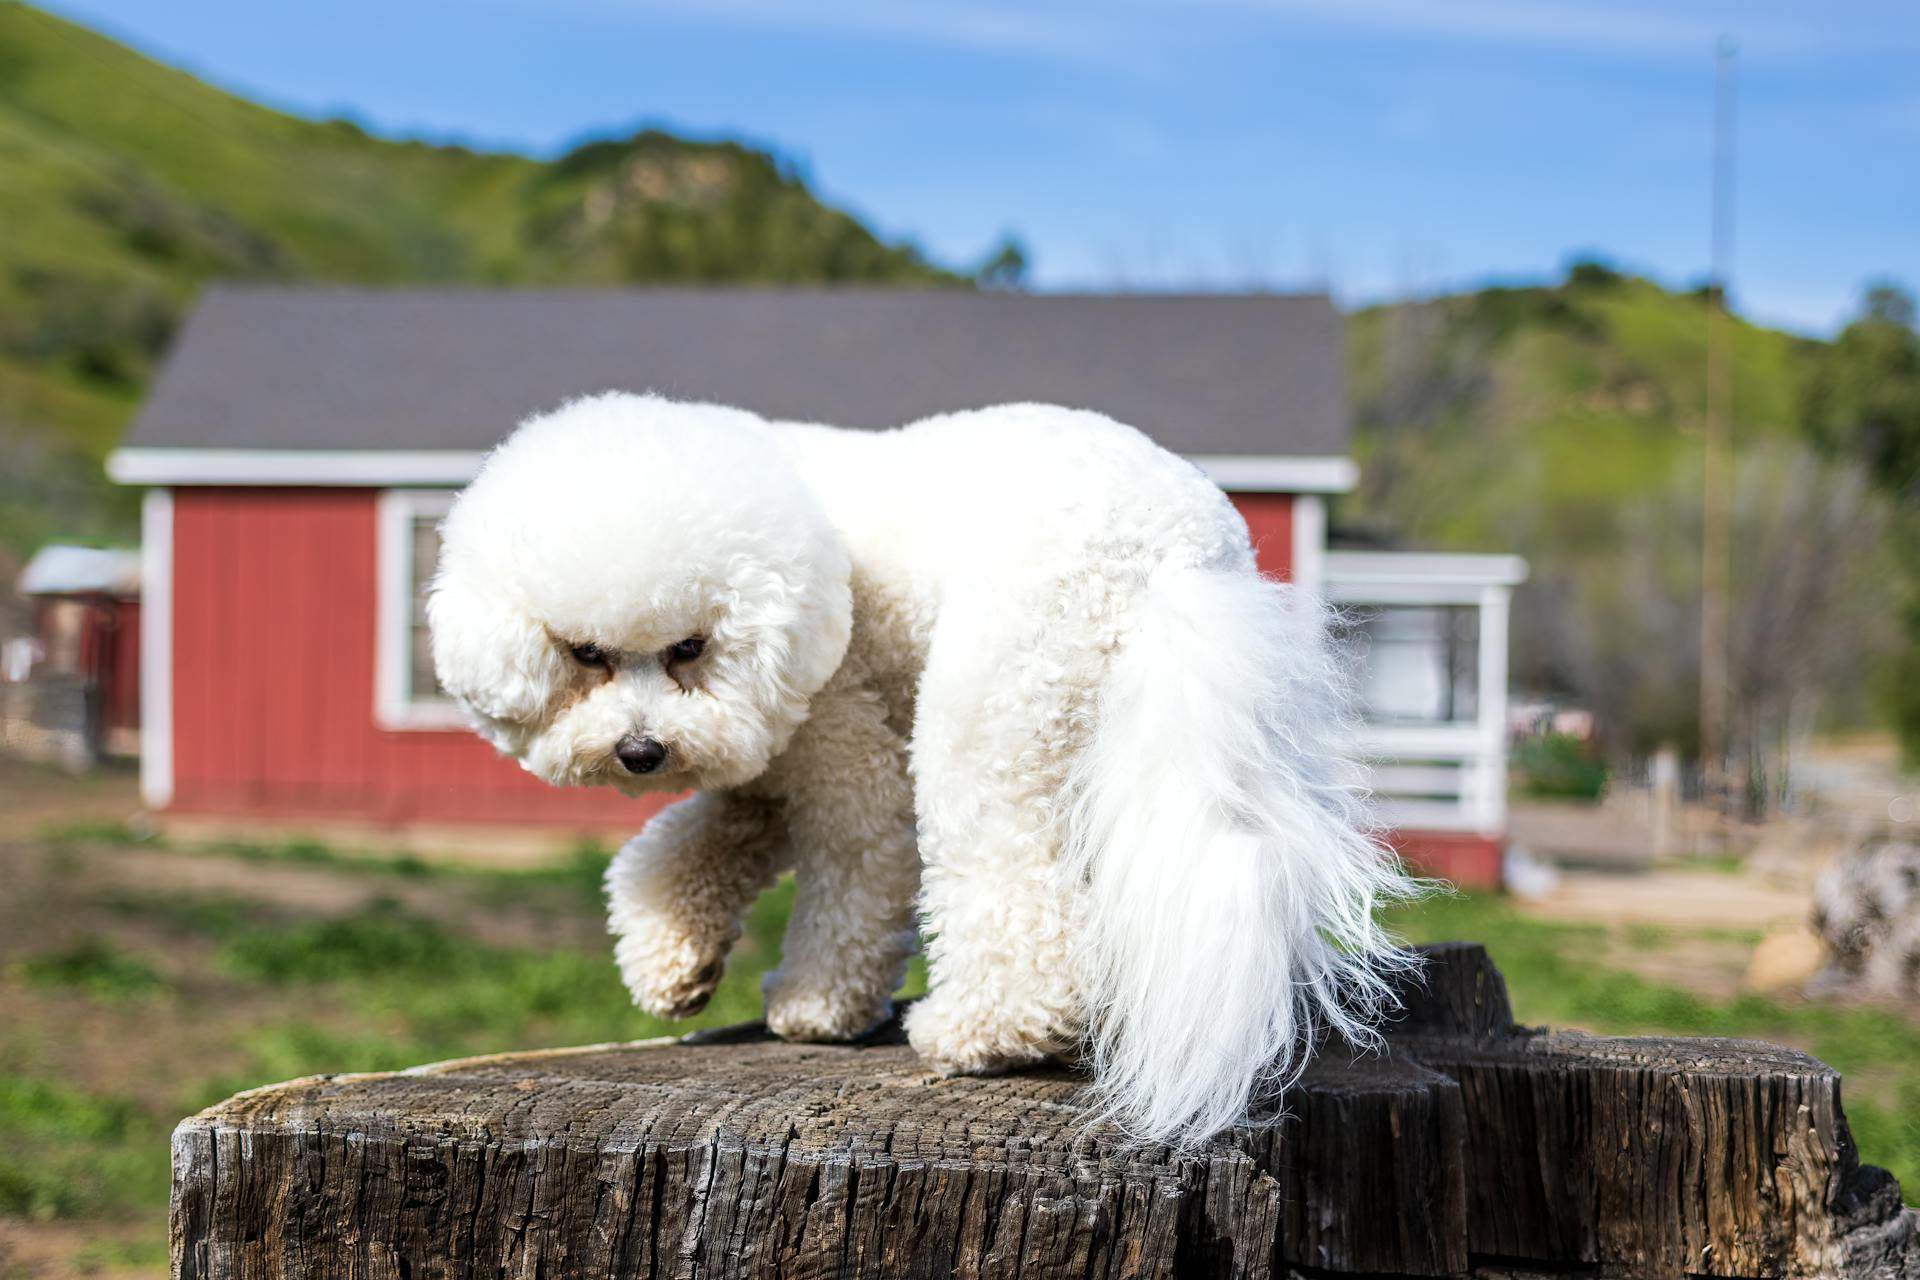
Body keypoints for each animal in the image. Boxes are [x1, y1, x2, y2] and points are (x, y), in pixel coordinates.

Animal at [439, 395, 1428, 1143]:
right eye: (586, 654)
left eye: (690, 646)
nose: (641, 751)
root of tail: (1174, 557)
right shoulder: (766, 764)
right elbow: (686, 845)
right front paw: (671, 962)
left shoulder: (842, 739)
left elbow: (852, 875)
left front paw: (816, 1009)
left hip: (989, 712)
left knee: (1016, 902)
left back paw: (978, 1033)